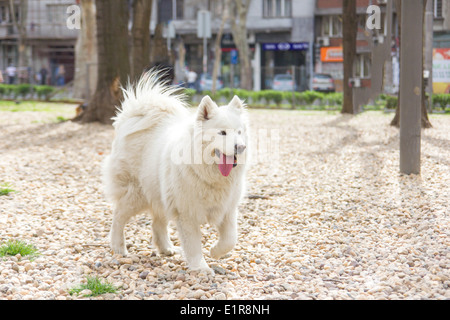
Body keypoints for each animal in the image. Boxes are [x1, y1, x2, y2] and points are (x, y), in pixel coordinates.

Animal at [103, 71, 250, 274]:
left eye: (240, 132)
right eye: (222, 133)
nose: (240, 147)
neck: (210, 175)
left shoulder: (227, 209)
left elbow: (230, 239)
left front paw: (215, 252)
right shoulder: (187, 213)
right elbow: (194, 245)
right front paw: (201, 268)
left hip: (160, 194)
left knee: (157, 223)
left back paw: (165, 248)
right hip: (137, 194)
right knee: (119, 215)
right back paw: (118, 247)